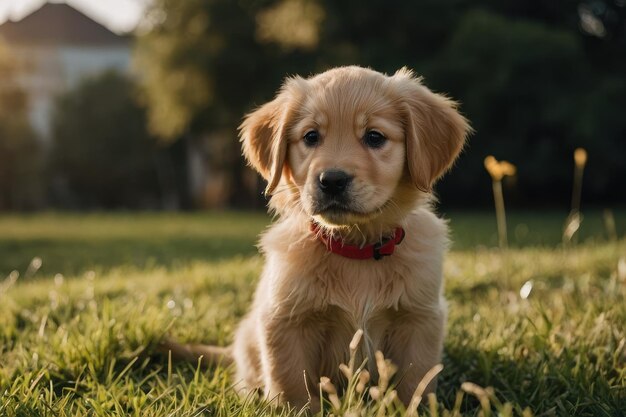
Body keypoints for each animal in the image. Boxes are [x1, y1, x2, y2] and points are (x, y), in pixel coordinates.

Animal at [166, 66, 468, 410]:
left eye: (374, 137)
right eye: (311, 136)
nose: (332, 180)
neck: (355, 247)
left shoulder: (419, 318)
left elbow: (415, 381)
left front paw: (408, 410)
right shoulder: (285, 320)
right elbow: (290, 384)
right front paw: (293, 409)